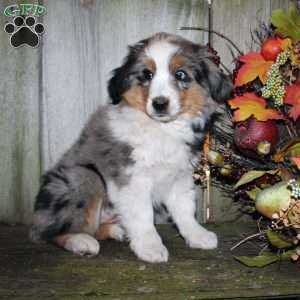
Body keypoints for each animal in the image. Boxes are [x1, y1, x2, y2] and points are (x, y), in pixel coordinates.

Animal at [30, 33, 232, 262]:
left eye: (180, 74)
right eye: (147, 74)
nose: (159, 103)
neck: (163, 129)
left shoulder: (179, 176)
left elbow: (185, 209)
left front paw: (197, 235)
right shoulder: (131, 176)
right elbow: (143, 215)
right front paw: (150, 247)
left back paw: (118, 230)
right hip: (84, 176)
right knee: (50, 232)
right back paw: (81, 241)